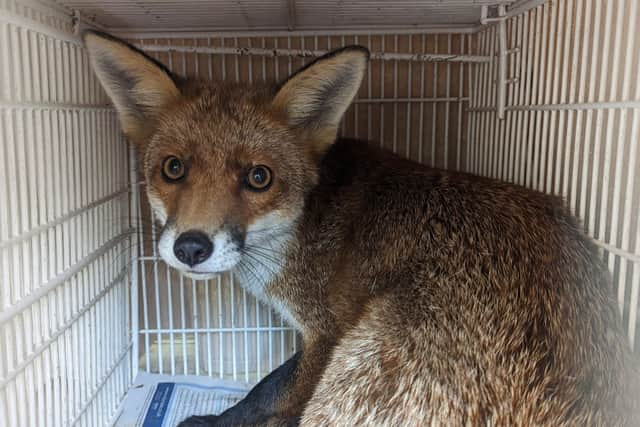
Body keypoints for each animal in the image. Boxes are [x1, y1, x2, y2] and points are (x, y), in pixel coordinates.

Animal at [85, 30, 640, 427]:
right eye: (173, 168)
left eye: (259, 177)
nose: (192, 247)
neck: (302, 228)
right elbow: (272, 388)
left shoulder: (328, 332)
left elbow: (268, 391)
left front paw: (217, 421)